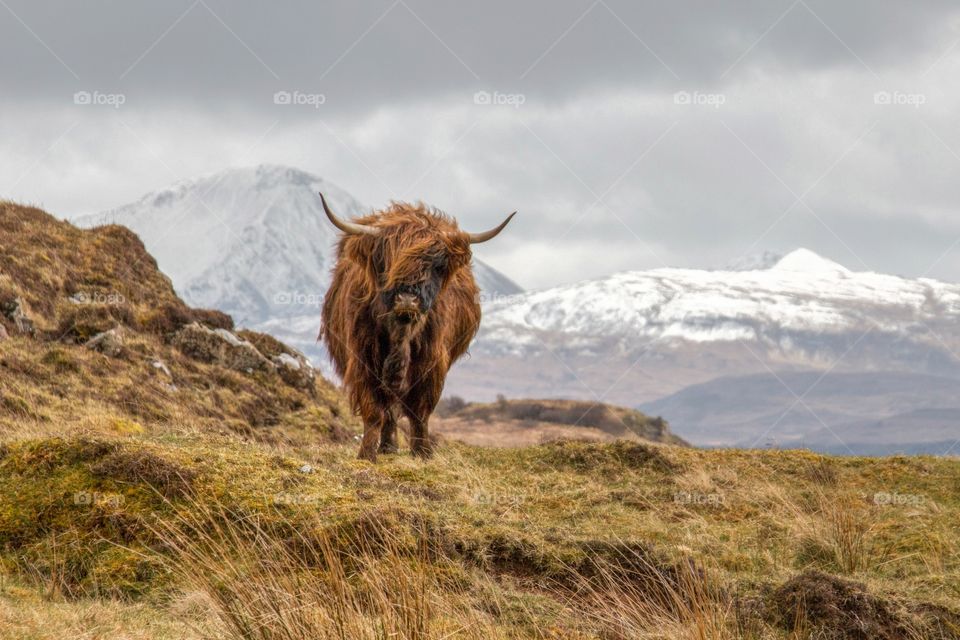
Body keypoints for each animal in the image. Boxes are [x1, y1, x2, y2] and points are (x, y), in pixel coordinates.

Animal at [319, 194, 515, 461]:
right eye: (388, 260)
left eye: (435, 265)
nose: (407, 300)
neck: (400, 333)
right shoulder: (362, 359)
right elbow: (374, 410)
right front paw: (367, 454)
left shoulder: (431, 362)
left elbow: (420, 411)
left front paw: (423, 452)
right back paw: (387, 446)